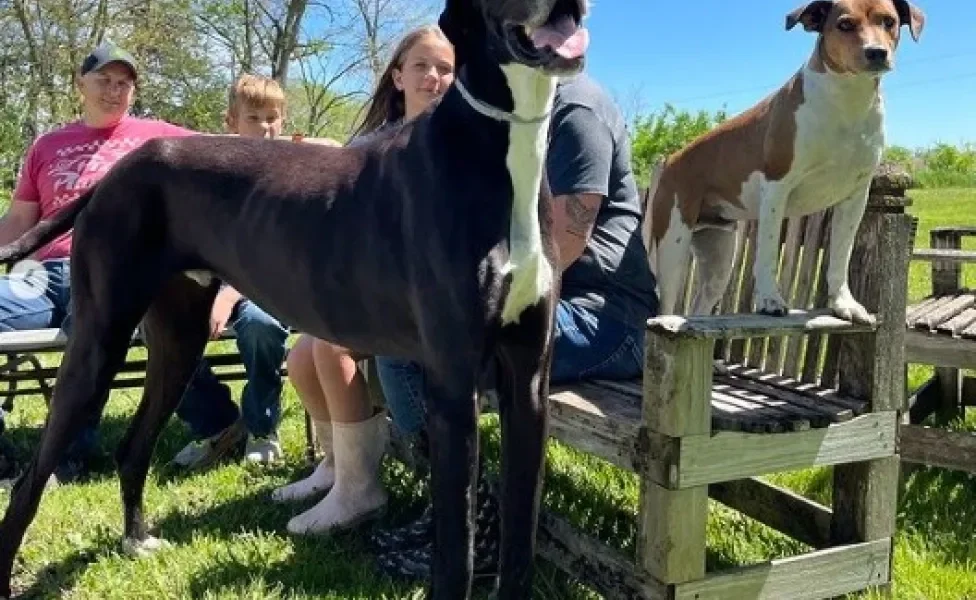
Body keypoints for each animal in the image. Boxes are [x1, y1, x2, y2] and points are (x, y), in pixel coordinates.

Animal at [0, 0, 592, 596]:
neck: (498, 145)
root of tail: (113, 176)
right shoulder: (452, 386)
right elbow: (456, 553)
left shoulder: (529, 383)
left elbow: (522, 536)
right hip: (99, 341)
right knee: (30, 481)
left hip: (178, 339)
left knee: (133, 446)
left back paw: (137, 539)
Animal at [644, 0, 928, 326]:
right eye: (844, 24)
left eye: (888, 21)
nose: (876, 52)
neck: (846, 101)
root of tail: (670, 161)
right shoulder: (777, 188)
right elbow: (767, 252)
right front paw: (770, 300)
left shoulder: (855, 197)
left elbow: (840, 255)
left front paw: (843, 303)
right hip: (672, 247)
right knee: (666, 301)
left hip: (719, 258)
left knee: (700, 302)